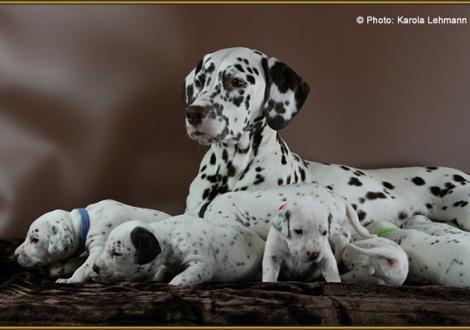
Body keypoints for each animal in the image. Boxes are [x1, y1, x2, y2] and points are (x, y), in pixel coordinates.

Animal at [12, 199, 171, 284]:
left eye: (35, 239)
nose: (15, 254)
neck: (86, 222)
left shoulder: (99, 249)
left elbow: (84, 267)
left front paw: (70, 279)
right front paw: (62, 268)